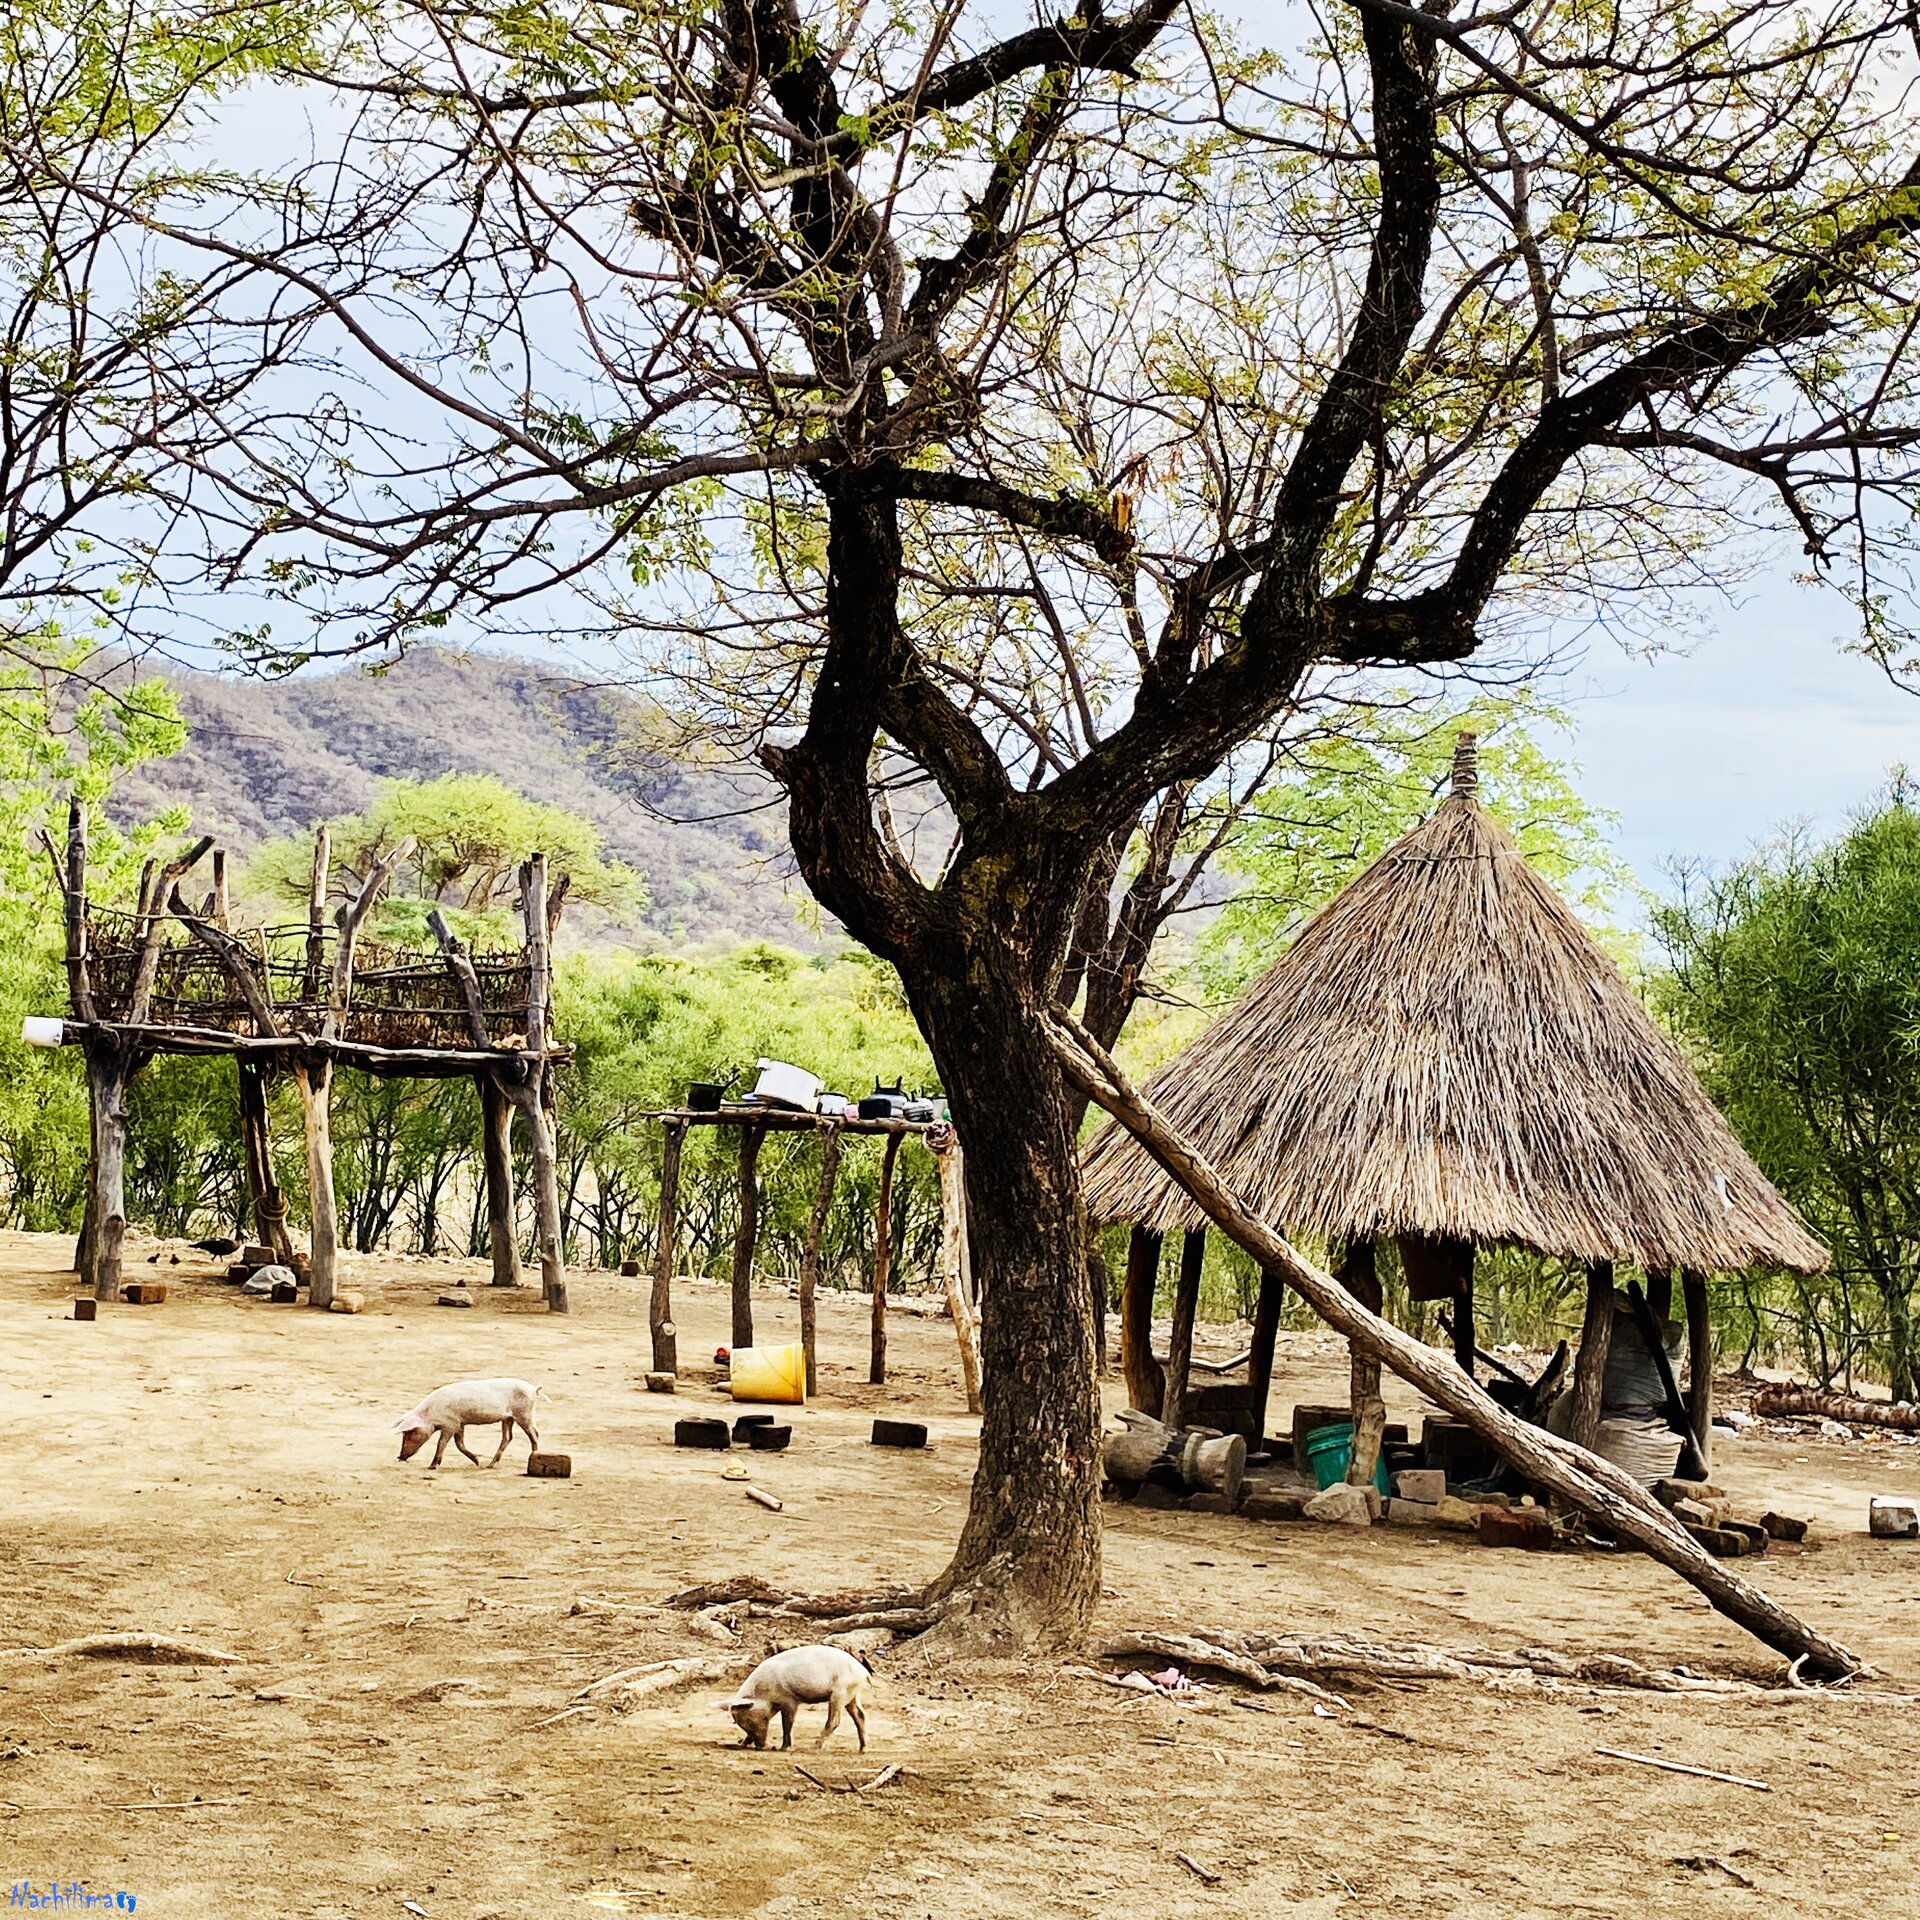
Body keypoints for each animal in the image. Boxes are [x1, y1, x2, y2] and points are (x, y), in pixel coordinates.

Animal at [394, 1378, 542, 1469]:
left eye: (410, 1432)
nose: (399, 1456)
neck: (431, 1414)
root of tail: (532, 1388)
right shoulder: (460, 1424)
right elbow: (459, 1444)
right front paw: (477, 1461)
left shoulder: (450, 1424)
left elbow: (441, 1443)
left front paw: (431, 1467)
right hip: (508, 1418)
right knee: (508, 1437)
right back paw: (489, 1465)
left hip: (523, 1414)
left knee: (534, 1434)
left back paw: (533, 1456)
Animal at [725, 1645, 871, 1752]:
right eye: (742, 1724)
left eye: (749, 1721)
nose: (761, 1746)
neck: (761, 1693)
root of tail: (864, 1672)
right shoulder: (774, 1705)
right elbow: (772, 1717)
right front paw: (743, 1744)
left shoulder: (789, 1700)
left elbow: (787, 1723)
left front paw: (784, 1748)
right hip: (852, 1694)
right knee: (860, 1715)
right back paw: (862, 1749)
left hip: (840, 1692)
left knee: (835, 1721)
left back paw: (813, 1748)